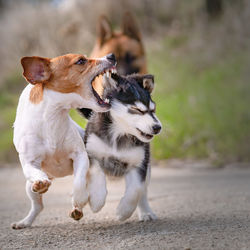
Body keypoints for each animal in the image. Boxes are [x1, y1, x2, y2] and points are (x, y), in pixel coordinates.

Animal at [11, 53, 116, 229]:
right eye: (80, 61)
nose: (111, 55)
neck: (53, 117)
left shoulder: (80, 155)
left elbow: (79, 182)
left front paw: (79, 199)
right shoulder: (29, 162)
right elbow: (33, 171)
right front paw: (40, 182)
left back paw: (82, 205)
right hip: (29, 189)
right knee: (38, 206)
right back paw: (25, 221)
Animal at [83, 73, 162, 221]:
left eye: (153, 109)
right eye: (137, 109)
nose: (157, 127)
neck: (119, 135)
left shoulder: (139, 164)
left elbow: (136, 189)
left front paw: (123, 211)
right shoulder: (91, 153)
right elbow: (96, 173)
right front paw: (97, 200)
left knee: (143, 191)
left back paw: (146, 212)